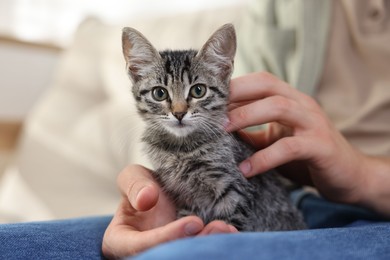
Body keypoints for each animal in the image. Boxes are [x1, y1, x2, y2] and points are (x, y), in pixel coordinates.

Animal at [121, 23, 304, 231]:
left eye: (198, 90)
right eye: (159, 93)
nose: (179, 113)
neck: (182, 149)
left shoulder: (235, 190)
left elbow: (229, 223)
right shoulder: (186, 197)